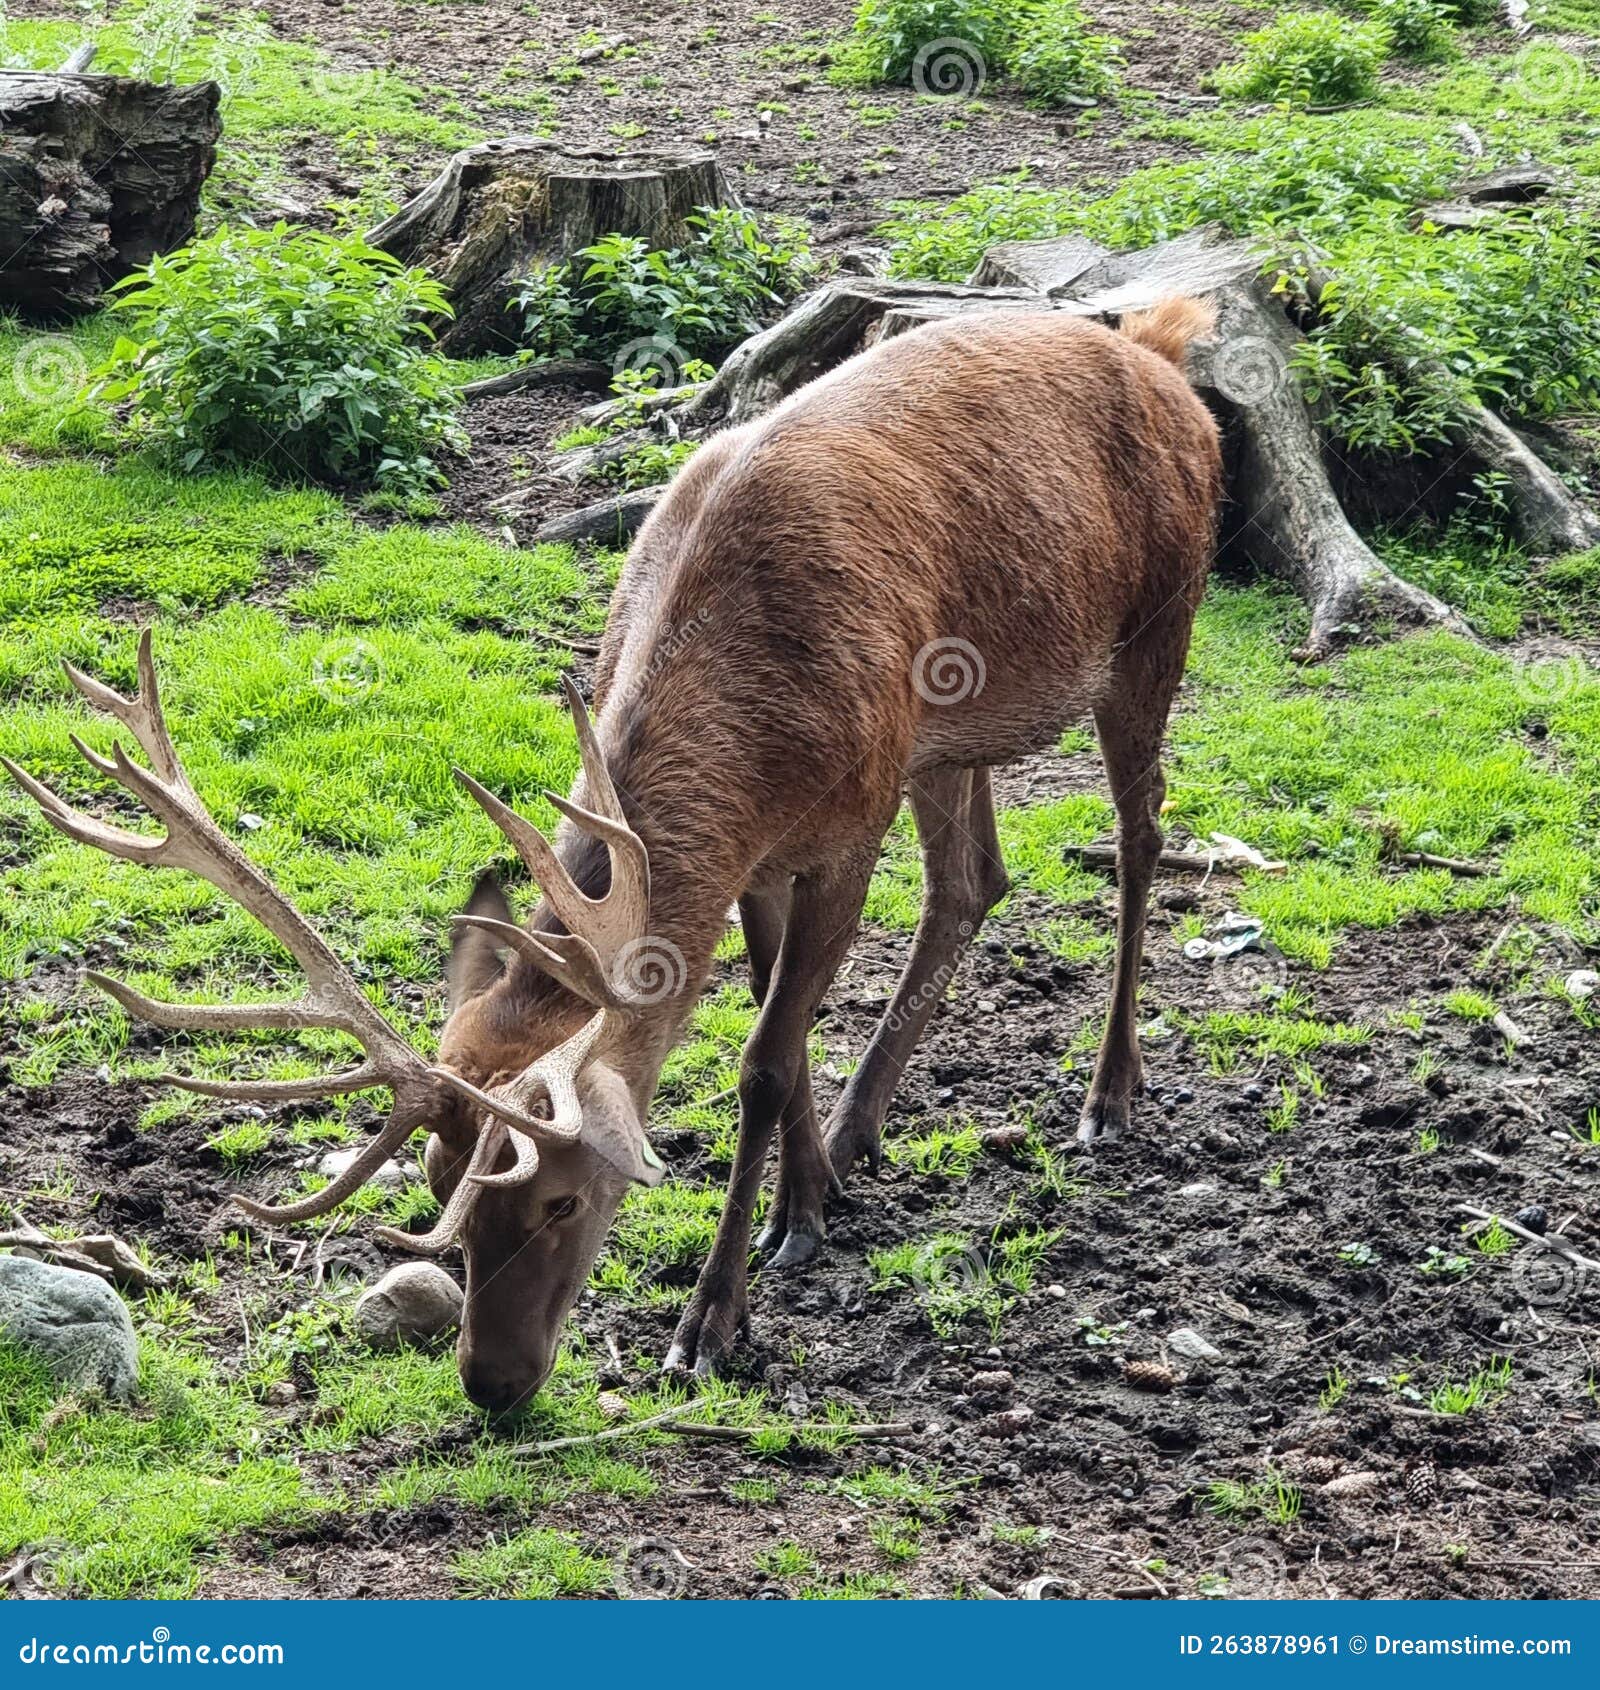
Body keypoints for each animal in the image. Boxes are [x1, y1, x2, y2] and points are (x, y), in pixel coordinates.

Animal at [6, 296, 1222, 1412]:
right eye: (439, 1187)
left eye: (562, 1198)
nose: (491, 1381)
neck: (758, 728)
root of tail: (1165, 356)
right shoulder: (762, 855)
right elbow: (784, 1029)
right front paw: (808, 1207)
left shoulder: (848, 821)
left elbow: (761, 1062)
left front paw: (712, 1320)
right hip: (955, 735)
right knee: (973, 880)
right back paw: (860, 1130)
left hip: (1159, 623)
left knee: (1141, 835)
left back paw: (1110, 1093)